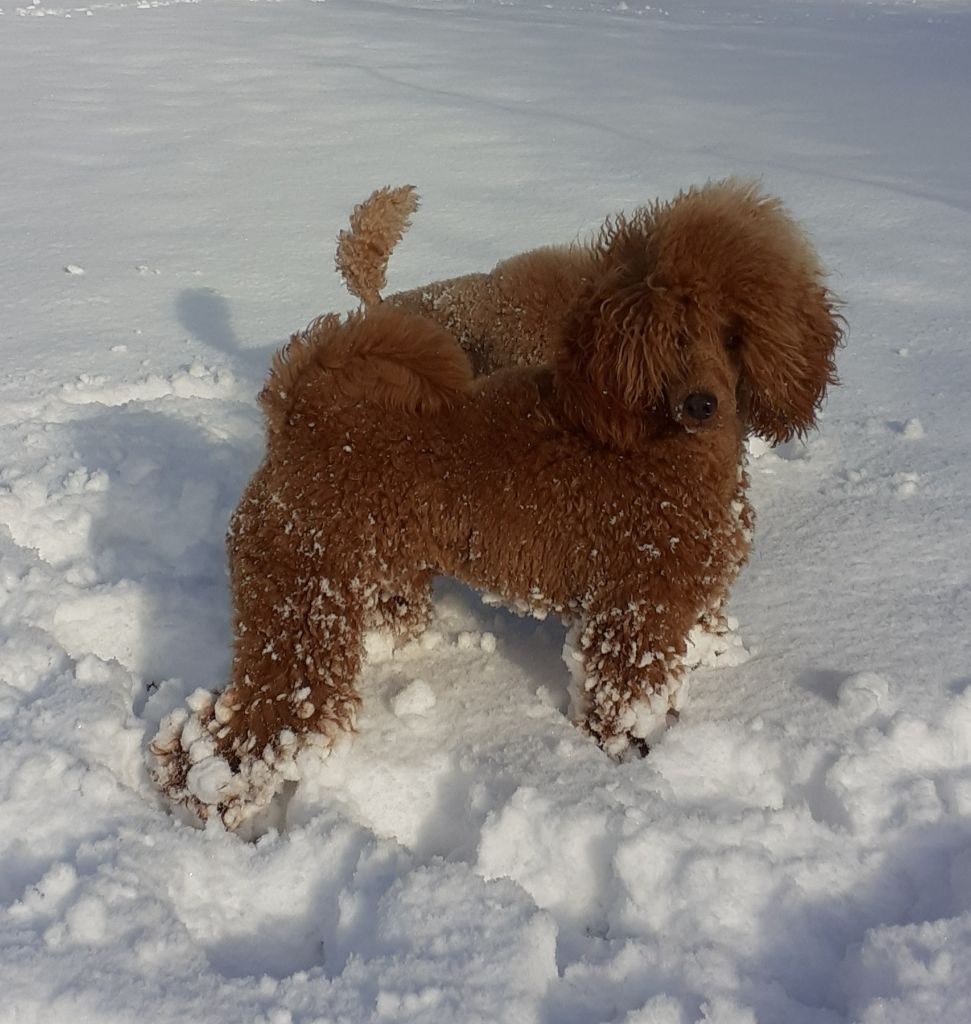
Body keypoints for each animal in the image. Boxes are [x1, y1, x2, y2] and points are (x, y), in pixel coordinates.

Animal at [151, 182, 843, 831]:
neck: (648, 436)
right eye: (670, 335)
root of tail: (301, 414)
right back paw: (211, 797)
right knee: (260, 726)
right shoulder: (633, 608)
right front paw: (632, 755)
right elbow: (625, 699)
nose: (703, 404)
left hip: (371, 574)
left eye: (734, 335)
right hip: (301, 595)